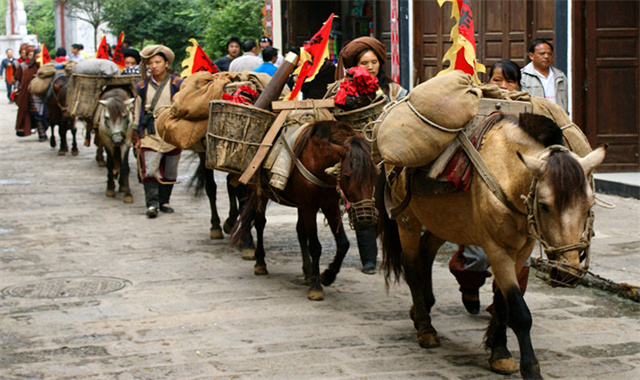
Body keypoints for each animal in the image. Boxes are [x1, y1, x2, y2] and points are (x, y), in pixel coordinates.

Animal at [234, 120, 380, 302]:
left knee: (300, 231)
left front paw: (327, 276)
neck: (317, 160)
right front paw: (316, 287)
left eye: (375, 174)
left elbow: (343, 244)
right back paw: (260, 263)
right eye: (346, 176)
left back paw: (308, 272)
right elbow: (315, 246)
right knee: (260, 224)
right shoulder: (309, 206)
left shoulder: (329, 205)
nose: (366, 218)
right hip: (261, 192)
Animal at [378, 113, 608, 380]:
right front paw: (529, 367)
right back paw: (426, 329)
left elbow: (502, 302)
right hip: (408, 221)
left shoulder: (521, 251)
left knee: (426, 254)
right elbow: (519, 311)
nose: (567, 273)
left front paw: (499, 352)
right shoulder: (498, 251)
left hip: (444, 222)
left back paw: (420, 309)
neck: (508, 174)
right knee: (412, 267)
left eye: (589, 204)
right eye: (544, 205)